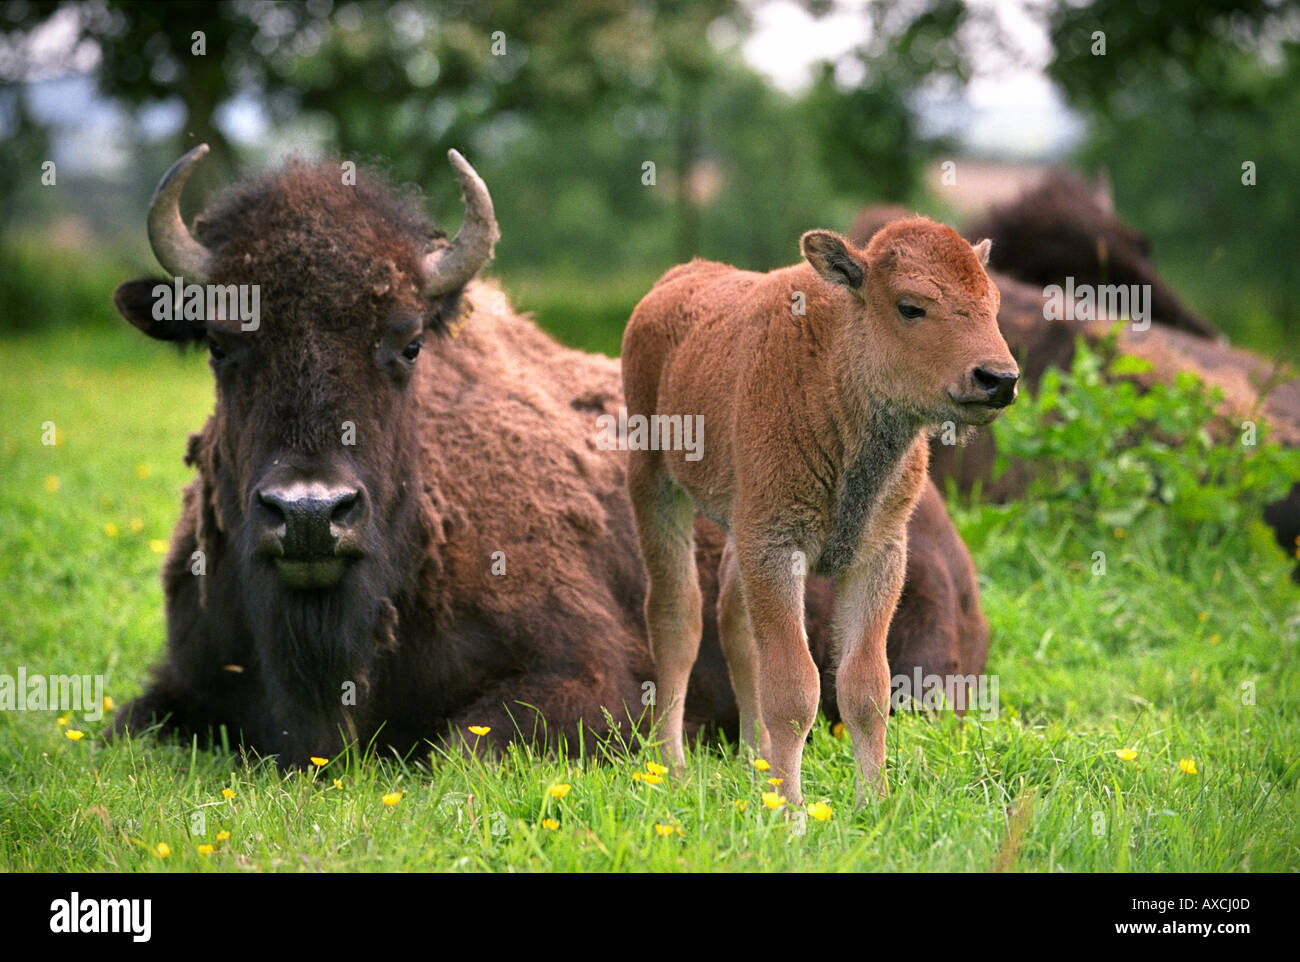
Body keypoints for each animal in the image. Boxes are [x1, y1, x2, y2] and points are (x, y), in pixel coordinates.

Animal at [111, 144, 987, 764]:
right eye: (222, 344)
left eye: (407, 342)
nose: (309, 512)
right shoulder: (182, 675)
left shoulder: (586, 680)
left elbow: (455, 754)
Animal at [624, 219, 1019, 806]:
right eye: (911, 307)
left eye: (992, 303)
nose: (999, 379)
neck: (836, 371)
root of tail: (673, 283)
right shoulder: (776, 546)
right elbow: (794, 688)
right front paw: (790, 810)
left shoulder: (877, 554)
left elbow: (865, 685)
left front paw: (874, 802)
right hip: (654, 483)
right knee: (677, 616)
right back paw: (671, 767)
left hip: (740, 527)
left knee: (734, 621)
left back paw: (754, 763)